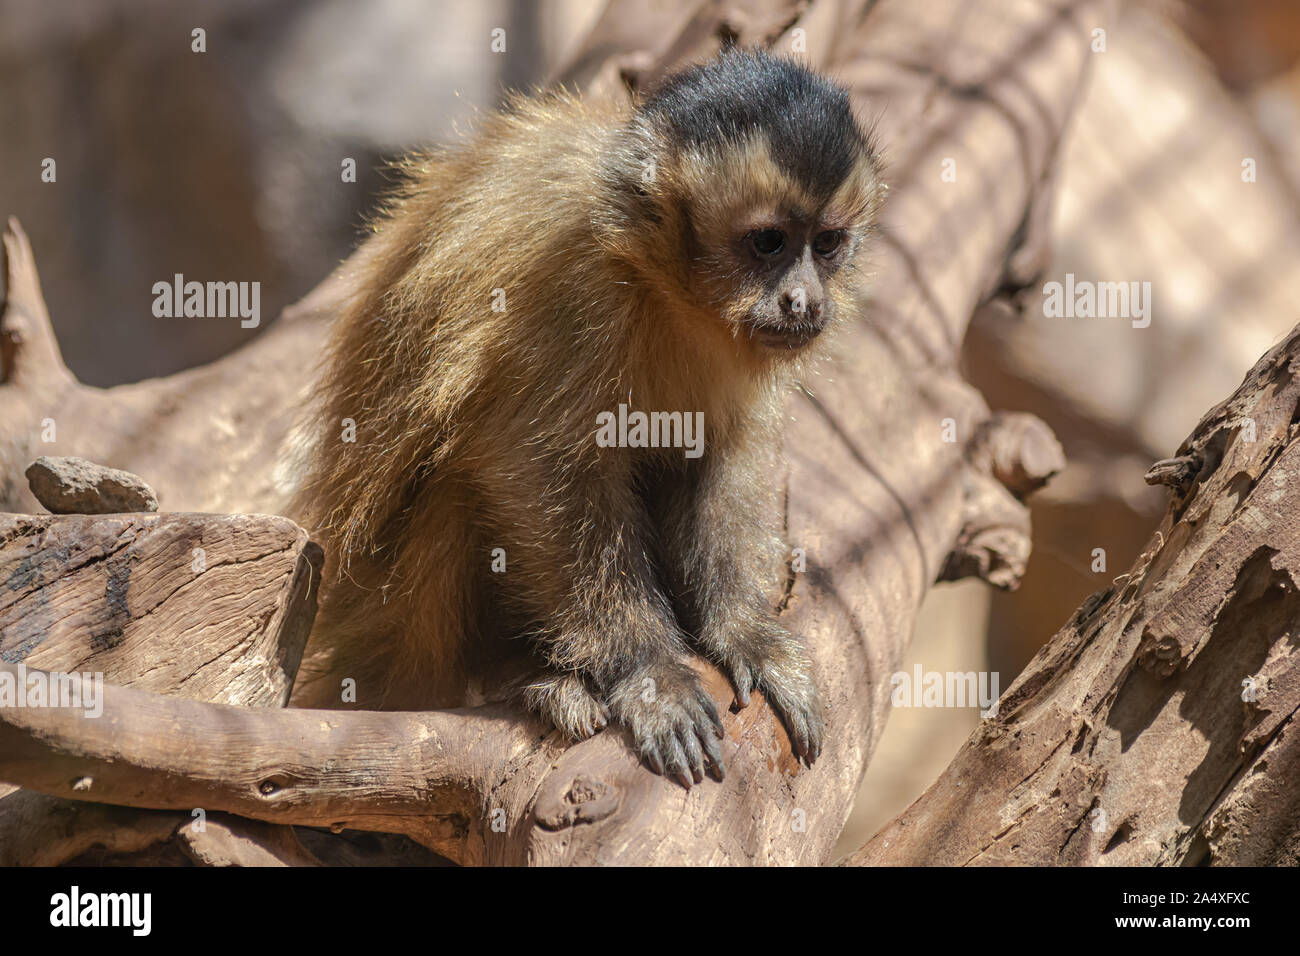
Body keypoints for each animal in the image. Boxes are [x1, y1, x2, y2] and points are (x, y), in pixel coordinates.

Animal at [291, 48, 883, 790]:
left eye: (827, 243)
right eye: (769, 243)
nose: (804, 299)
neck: (658, 278)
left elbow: (716, 457)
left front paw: (741, 632)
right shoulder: (576, 284)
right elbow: (533, 464)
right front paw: (649, 673)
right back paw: (519, 679)